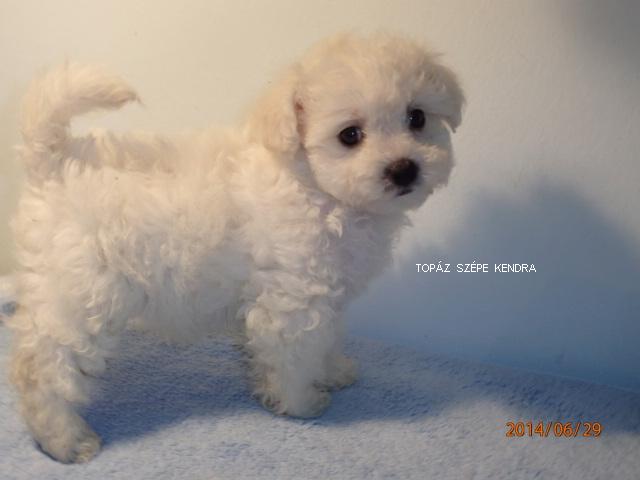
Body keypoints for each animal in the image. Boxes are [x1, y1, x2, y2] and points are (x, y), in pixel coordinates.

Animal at [7, 32, 464, 462]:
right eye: (350, 135)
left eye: (417, 118)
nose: (403, 169)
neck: (314, 185)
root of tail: (53, 161)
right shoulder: (293, 301)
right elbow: (293, 357)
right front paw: (302, 403)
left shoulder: (327, 294)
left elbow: (328, 337)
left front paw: (334, 371)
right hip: (80, 297)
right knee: (43, 371)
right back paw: (65, 441)